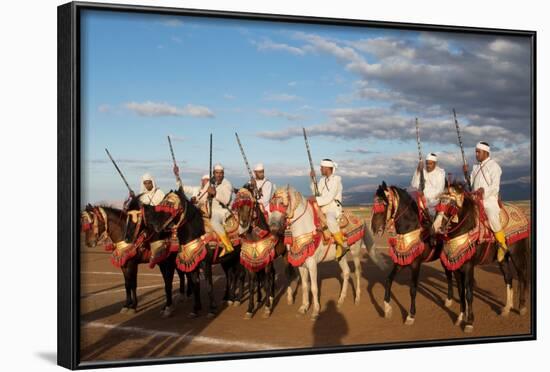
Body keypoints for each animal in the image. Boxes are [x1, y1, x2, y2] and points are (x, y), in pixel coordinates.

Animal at [268, 186, 382, 320]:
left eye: (282, 203)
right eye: (271, 204)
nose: (273, 226)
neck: (305, 229)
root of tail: (360, 218)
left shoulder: (312, 265)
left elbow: (313, 288)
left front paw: (315, 311)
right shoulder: (301, 265)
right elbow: (305, 286)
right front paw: (303, 307)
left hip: (355, 251)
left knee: (358, 272)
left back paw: (357, 298)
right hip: (341, 256)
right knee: (346, 272)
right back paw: (341, 299)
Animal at [434, 182, 532, 332]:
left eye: (451, 204)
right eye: (439, 202)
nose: (436, 226)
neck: (466, 228)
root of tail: (520, 213)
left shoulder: (469, 267)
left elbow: (469, 294)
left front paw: (469, 322)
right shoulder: (456, 267)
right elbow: (461, 293)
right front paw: (460, 318)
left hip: (517, 254)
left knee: (522, 276)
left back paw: (521, 307)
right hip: (503, 259)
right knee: (508, 278)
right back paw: (506, 308)